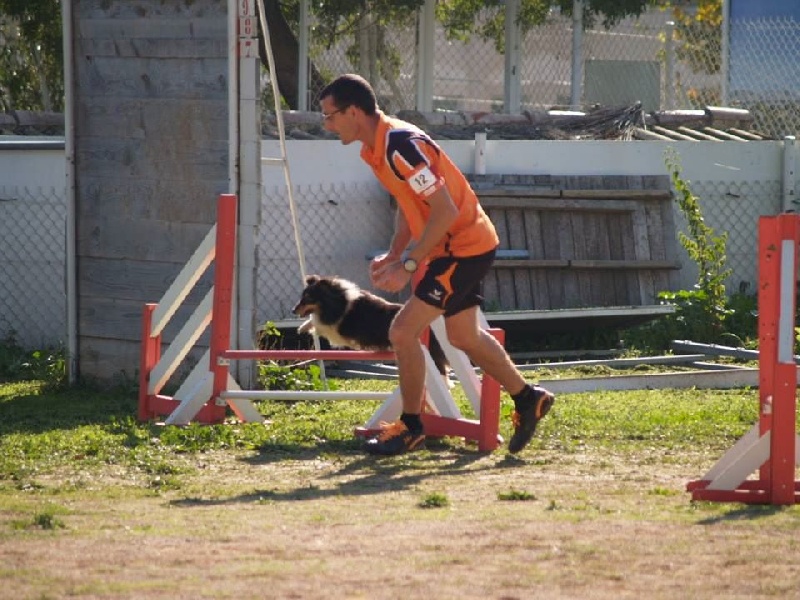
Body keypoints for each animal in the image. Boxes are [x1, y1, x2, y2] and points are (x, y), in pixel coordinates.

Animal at [294, 276, 450, 378]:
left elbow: (318, 323)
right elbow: (314, 321)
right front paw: (303, 327)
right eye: (302, 296)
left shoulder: (337, 330)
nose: (292, 310)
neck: (339, 300)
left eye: (308, 297)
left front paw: (302, 328)